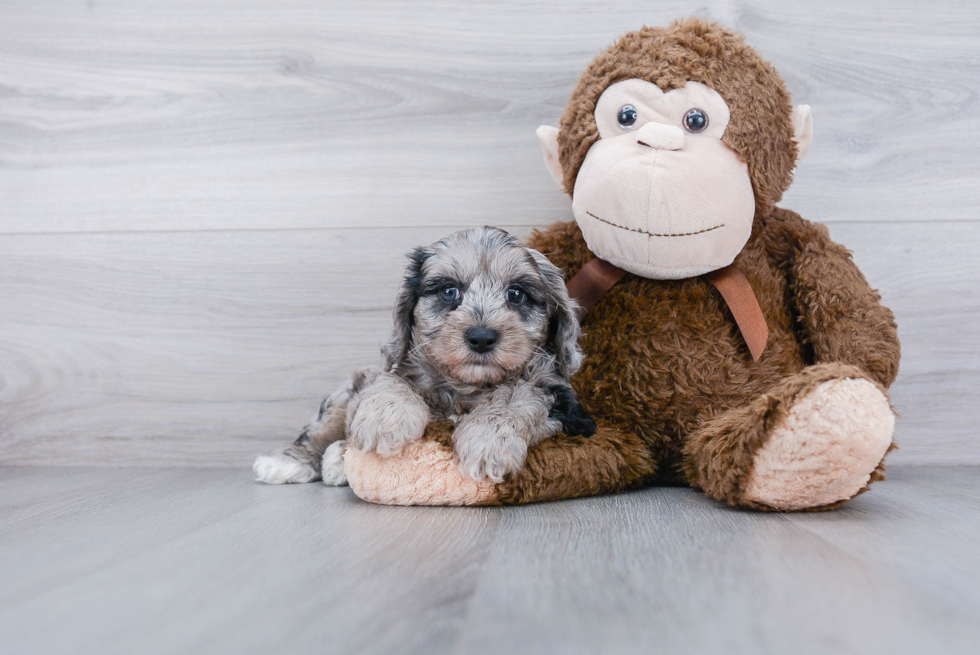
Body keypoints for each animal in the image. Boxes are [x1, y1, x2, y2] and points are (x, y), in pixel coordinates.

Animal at [253, 227, 592, 486]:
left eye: (516, 294)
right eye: (449, 291)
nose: (482, 337)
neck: (466, 387)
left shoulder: (564, 406)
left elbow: (517, 396)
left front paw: (487, 442)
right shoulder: (394, 368)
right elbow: (394, 382)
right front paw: (384, 421)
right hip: (346, 392)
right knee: (322, 429)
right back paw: (291, 462)